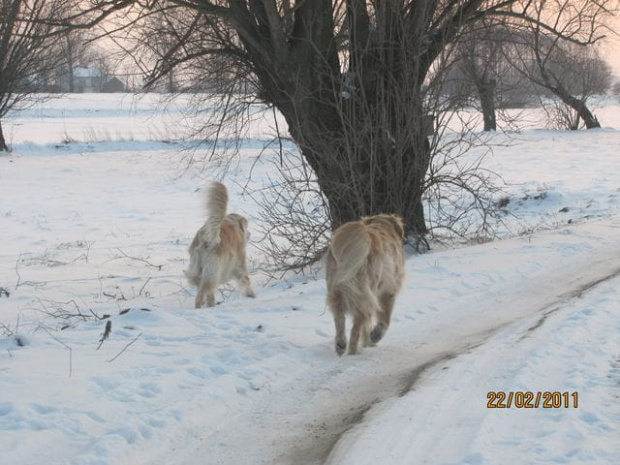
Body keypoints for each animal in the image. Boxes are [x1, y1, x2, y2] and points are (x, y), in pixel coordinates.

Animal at [324, 214, 406, 356]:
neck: (382, 225)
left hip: (335, 290)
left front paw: (368, 342)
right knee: (356, 329)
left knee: (340, 319)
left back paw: (341, 344)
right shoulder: (388, 291)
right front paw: (374, 337)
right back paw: (353, 352)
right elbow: (385, 320)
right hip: (366, 293)